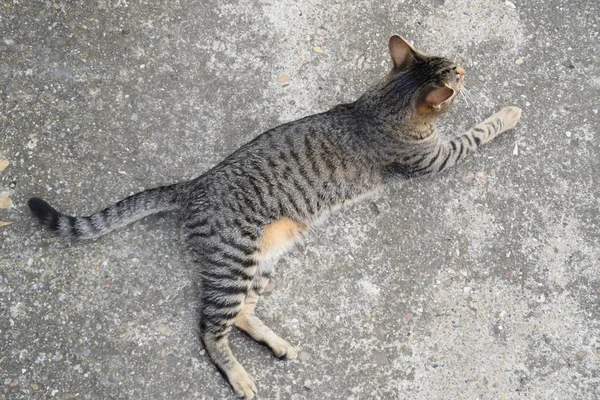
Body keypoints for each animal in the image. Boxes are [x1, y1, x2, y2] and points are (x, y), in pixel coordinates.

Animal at [30, 36, 524, 398]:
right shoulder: (435, 158)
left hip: (263, 259)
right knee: (210, 328)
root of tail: (194, 185)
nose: (465, 67)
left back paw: (278, 344)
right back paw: (241, 378)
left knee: (242, 312)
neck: (381, 105)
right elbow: (478, 131)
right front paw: (510, 111)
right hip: (234, 262)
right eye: (456, 72)